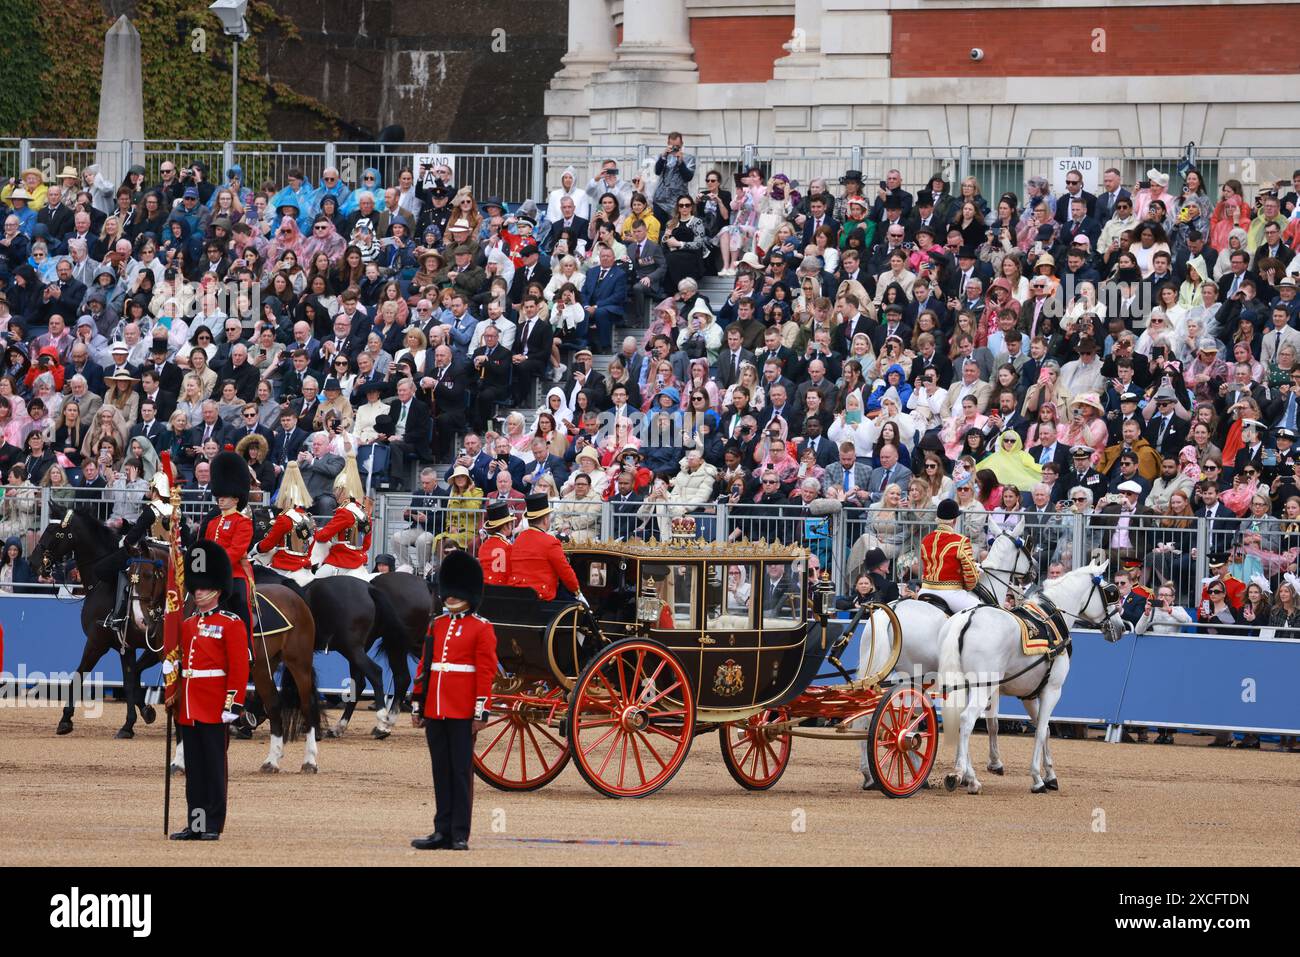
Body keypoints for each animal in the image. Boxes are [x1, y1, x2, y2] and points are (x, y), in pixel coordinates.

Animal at [32, 512, 322, 774]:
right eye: (131, 573)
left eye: (55, 533)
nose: (36, 562)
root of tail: (293, 595)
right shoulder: (139, 650)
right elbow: (133, 681)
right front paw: (144, 726)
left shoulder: (98, 642)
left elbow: (82, 676)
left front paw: (68, 720)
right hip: (262, 665)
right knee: (273, 704)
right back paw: (270, 758)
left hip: (298, 662)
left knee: (306, 704)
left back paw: (307, 760)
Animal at [857, 527, 1040, 790]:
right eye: (1026, 545)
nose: (1035, 572)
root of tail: (890, 611)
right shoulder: (985, 680)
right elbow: (989, 721)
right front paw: (985, 766)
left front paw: (962, 771)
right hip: (914, 675)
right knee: (907, 717)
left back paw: (872, 774)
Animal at [935, 561, 1128, 790]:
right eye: (1111, 592)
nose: (1121, 627)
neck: (1052, 619)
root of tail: (967, 617)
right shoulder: (1052, 690)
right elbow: (1041, 730)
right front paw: (1037, 778)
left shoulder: (1028, 694)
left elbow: (1042, 731)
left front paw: (1050, 775)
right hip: (984, 687)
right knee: (966, 720)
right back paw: (968, 777)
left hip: (965, 687)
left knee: (959, 720)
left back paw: (962, 773)